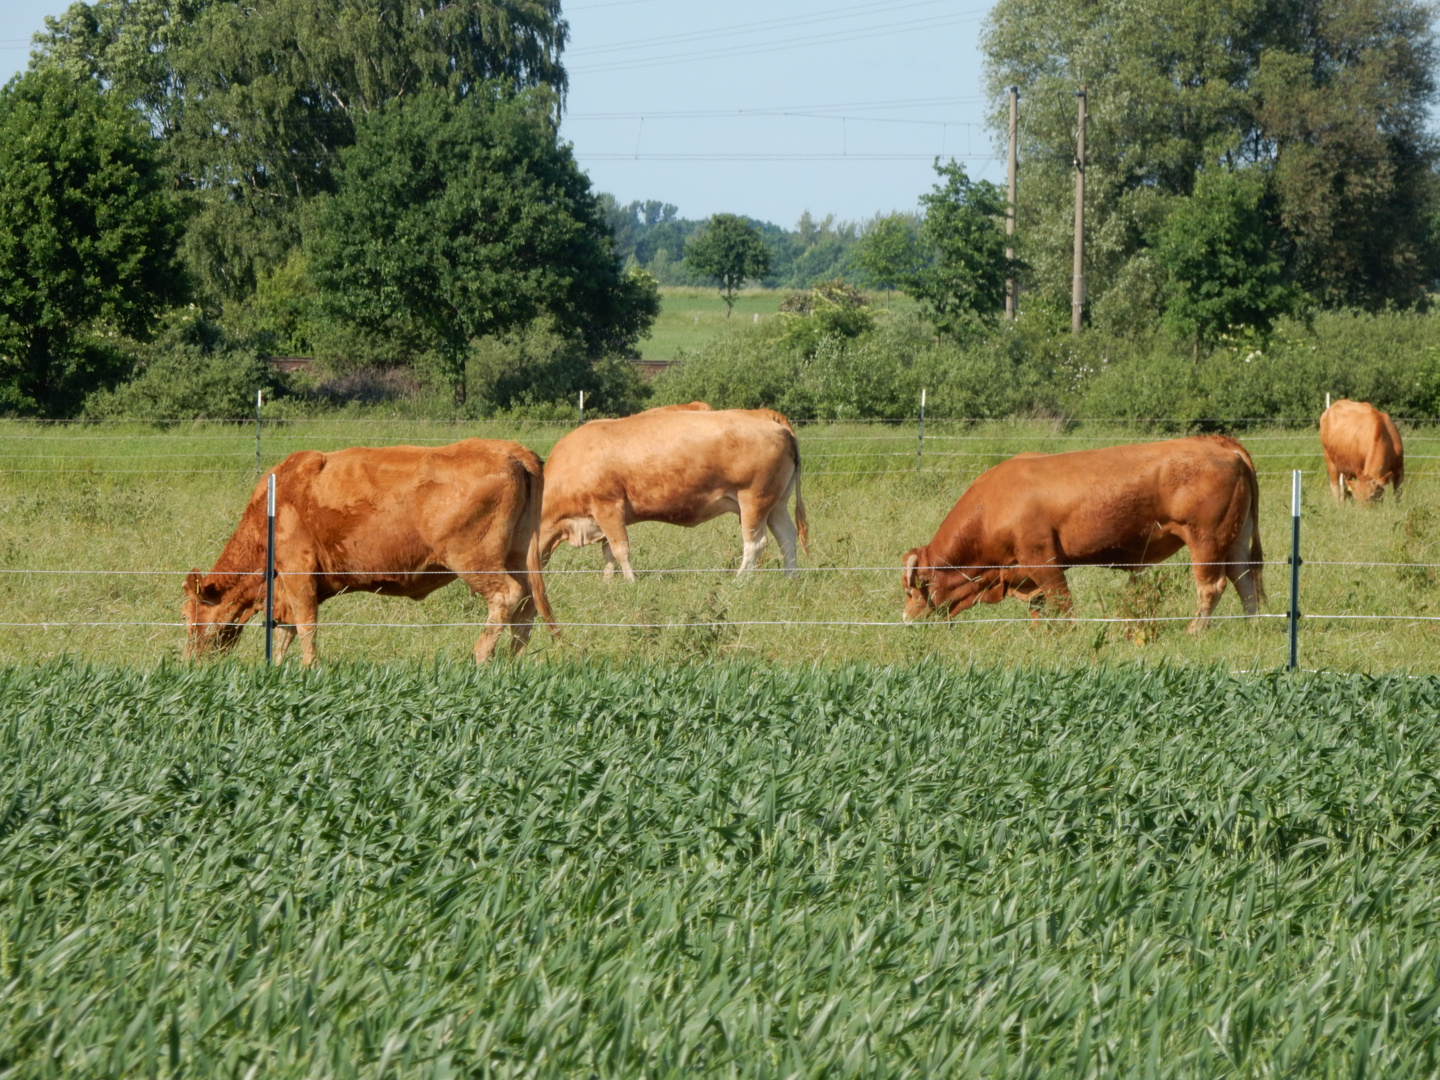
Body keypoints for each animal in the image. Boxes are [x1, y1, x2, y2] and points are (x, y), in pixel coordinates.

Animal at [182, 440, 552, 668]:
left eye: (186, 616)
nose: (186, 661)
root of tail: (508, 449)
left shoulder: (298, 571)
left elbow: (305, 624)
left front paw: (308, 667)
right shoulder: (285, 587)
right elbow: (287, 628)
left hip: (474, 560)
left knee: (508, 595)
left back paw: (481, 655)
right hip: (520, 557)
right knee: (527, 603)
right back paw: (513, 659)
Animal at [541, 408, 812, 584]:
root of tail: (765, 415)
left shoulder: (607, 506)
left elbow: (620, 549)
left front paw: (631, 582)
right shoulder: (600, 515)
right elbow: (608, 551)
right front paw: (608, 582)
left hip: (754, 500)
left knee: (755, 544)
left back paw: (740, 580)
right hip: (776, 503)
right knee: (787, 537)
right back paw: (791, 578)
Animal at [904, 434, 1267, 630]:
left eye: (911, 592)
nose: (905, 621)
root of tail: (1221, 444)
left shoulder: (1043, 560)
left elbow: (1061, 603)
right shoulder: (1025, 573)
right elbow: (1039, 608)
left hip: (1207, 541)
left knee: (1212, 587)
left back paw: (1195, 630)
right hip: (1234, 539)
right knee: (1244, 579)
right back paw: (1250, 625)